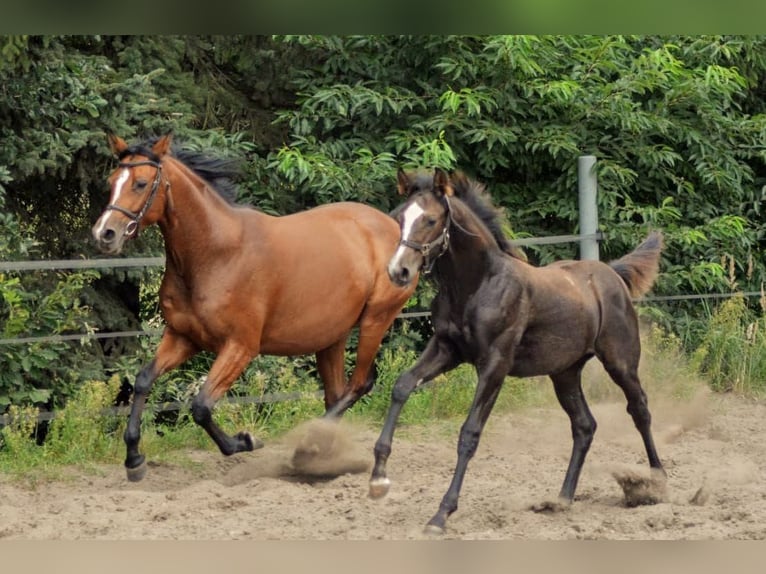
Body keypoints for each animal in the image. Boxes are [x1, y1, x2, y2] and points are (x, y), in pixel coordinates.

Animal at [92, 134, 416, 482]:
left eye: (140, 183)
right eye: (111, 181)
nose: (104, 234)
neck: (216, 254)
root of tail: (394, 228)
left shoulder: (241, 346)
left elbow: (201, 406)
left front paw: (245, 441)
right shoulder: (183, 337)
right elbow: (143, 380)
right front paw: (134, 460)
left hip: (375, 321)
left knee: (359, 384)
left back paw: (307, 450)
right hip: (332, 337)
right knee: (337, 392)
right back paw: (323, 457)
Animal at [370, 168, 664, 536]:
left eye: (431, 220)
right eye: (399, 218)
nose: (399, 271)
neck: (476, 285)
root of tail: (614, 274)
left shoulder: (494, 364)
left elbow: (469, 433)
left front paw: (441, 514)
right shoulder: (446, 349)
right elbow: (402, 386)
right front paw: (378, 477)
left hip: (621, 362)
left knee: (640, 409)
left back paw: (657, 483)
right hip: (564, 373)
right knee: (584, 425)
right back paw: (561, 499)